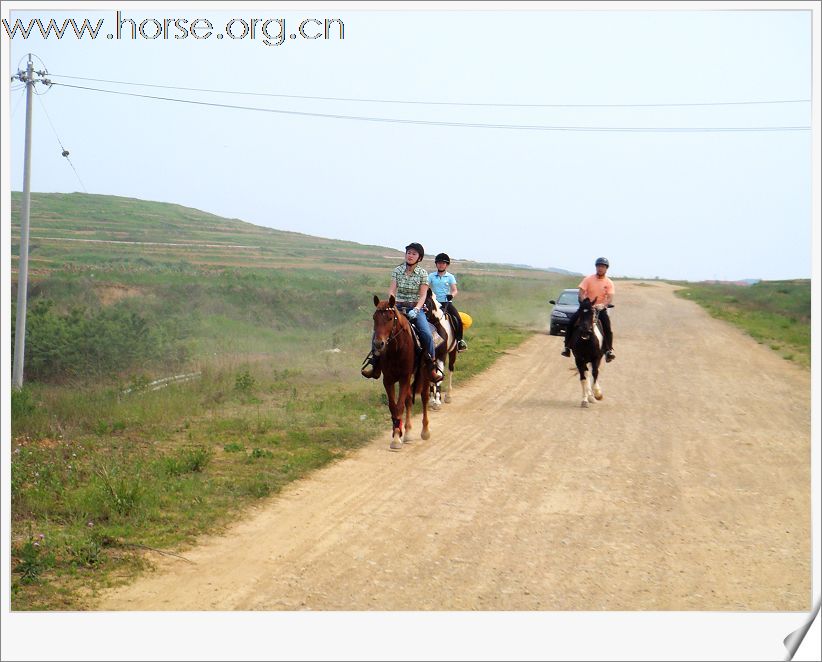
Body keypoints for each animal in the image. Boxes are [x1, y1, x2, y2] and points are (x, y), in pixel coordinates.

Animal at [372, 296, 434, 452]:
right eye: (374, 318)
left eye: (389, 318)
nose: (378, 344)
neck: (396, 349)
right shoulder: (388, 380)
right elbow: (393, 406)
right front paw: (397, 433)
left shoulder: (404, 377)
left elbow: (399, 406)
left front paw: (396, 440)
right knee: (408, 399)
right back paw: (408, 433)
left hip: (424, 373)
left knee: (424, 397)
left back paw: (425, 431)